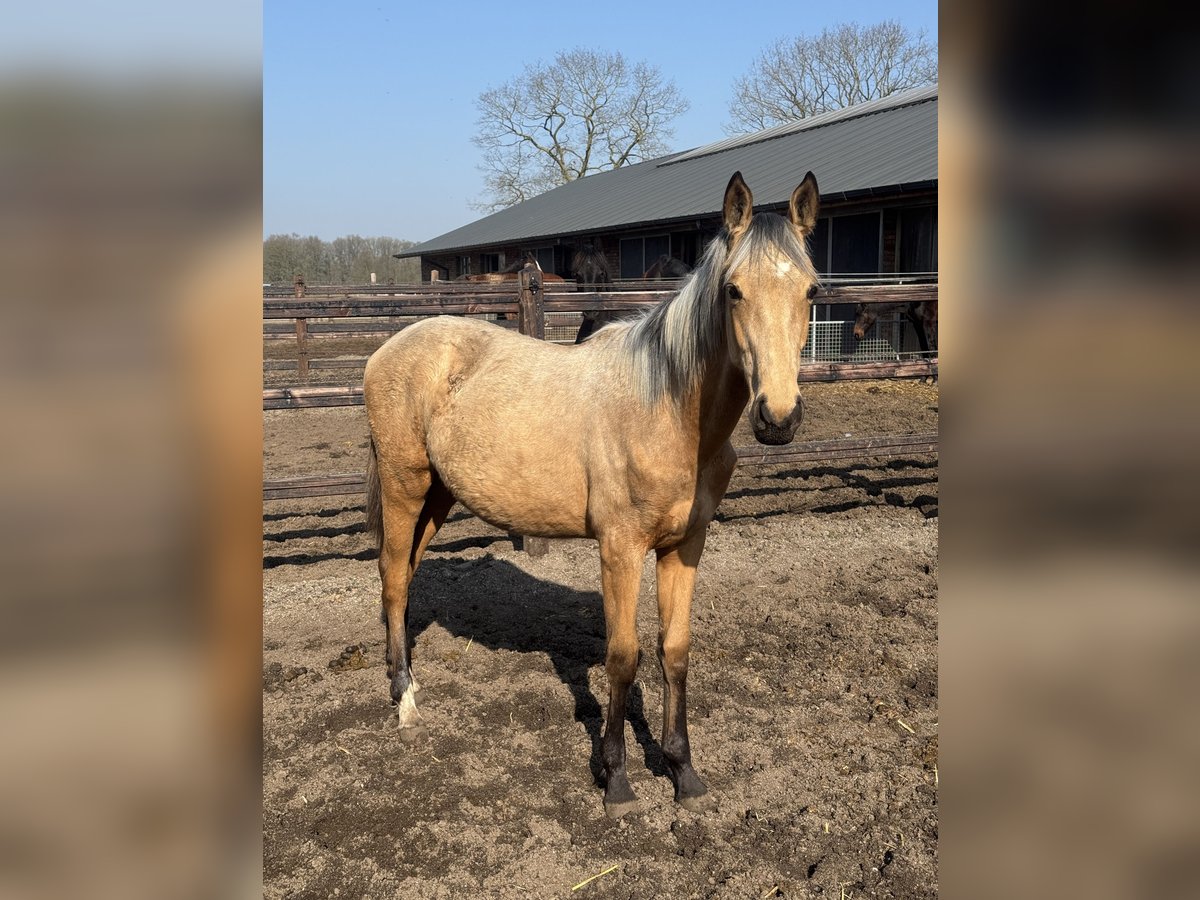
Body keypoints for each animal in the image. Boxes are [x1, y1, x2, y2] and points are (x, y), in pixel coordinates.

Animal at [360, 168, 820, 816]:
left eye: (811, 292)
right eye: (733, 291)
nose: (778, 418)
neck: (666, 408)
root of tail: (388, 349)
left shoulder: (684, 547)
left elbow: (674, 651)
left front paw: (682, 771)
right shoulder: (619, 549)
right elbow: (622, 657)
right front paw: (617, 780)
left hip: (439, 496)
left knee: (403, 576)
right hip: (406, 485)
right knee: (395, 578)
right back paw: (404, 699)